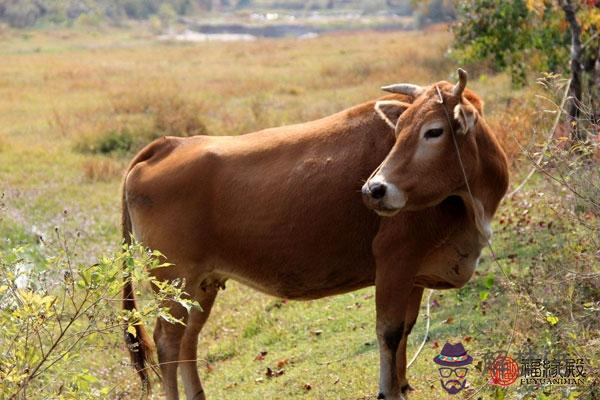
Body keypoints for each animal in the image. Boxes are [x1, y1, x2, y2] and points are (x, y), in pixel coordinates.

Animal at [124, 70, 508, 398]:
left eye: (433, 131)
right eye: (398, 130)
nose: (374, 190)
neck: (469, 202)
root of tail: (169, 144)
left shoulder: (413, 273)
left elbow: (406, 330)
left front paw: (403, 384)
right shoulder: (394, 260)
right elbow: (388, 332)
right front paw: (389, 390)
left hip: (200, 286)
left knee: (188, 340)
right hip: (174, 283)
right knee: (168, 343)